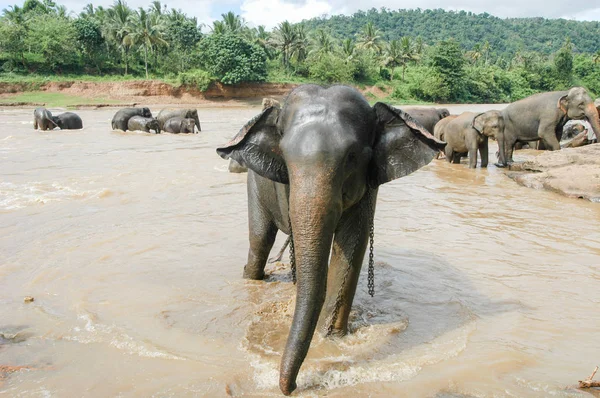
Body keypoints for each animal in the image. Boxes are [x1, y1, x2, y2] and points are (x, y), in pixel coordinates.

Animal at [217, 84, 446, 394]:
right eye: (284, 157)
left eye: (352, 156)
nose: (292, 387)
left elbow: (351, 246)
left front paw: (331, 338)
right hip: (254, 183)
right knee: (260, 239)